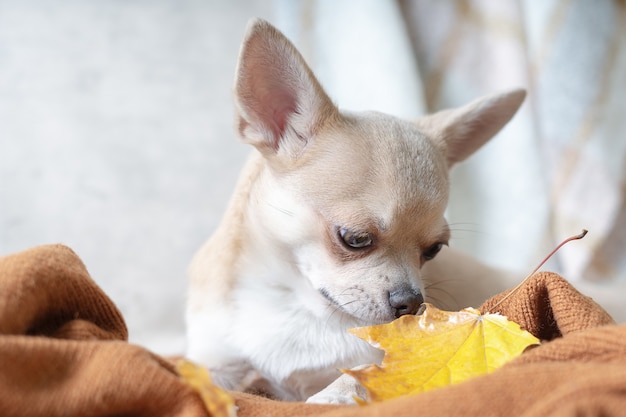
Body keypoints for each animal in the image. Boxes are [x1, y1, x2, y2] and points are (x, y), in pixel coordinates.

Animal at [186, 18, 528, 404]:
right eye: (355, 239)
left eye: (434, 250)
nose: (412, 301)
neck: (293, 301)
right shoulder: (216, 365)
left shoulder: (385, 364)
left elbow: (348, 382)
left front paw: (325, 399)